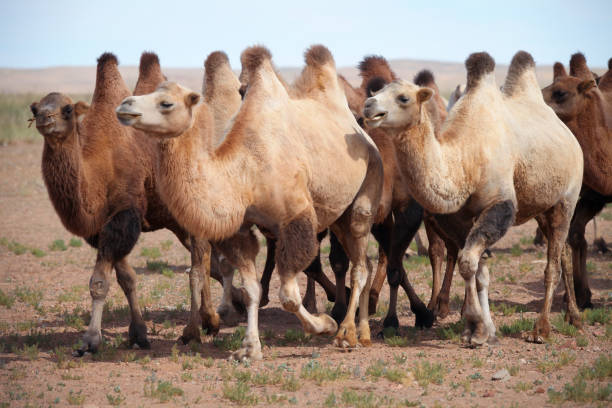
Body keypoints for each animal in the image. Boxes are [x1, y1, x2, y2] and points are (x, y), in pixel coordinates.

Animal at [27, 53, 245, 354]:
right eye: (35, 107)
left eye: (67, 109)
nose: (45, 119)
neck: (98, 165)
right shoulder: (102, 227)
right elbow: (126, 279)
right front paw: (138, 334)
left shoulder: (124, 214)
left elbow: (99, 282)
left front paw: (91, 340)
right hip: (178, 219)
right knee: (206, 258)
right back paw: (221, 313)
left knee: (201, 262)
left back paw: (203, 324)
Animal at [116, 43, 382, 358]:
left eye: (166, 103)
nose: (125, 105)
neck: (246, 172)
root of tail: (362, 131)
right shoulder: (240, 228)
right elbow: (252, 288)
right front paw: (249, 347)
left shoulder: (297, 216)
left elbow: (288, 295)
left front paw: (325, 324)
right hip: (338, 210)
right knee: (364, 260)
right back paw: (364, 332)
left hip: (368, 184)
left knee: (360, 264)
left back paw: (347, 333)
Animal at [364, 50, 584, 344]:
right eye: (378, 91)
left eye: (403, 98)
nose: (368, 106)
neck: (464, 161)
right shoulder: (458, 219)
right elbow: (477, 269)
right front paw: (479, 328)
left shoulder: (500, 205)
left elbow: (468, 263)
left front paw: (476, 329)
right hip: (541, 205)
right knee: (563, 254)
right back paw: (574, 317)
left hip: (567, 198)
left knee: (552, 265)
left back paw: (542, 328)